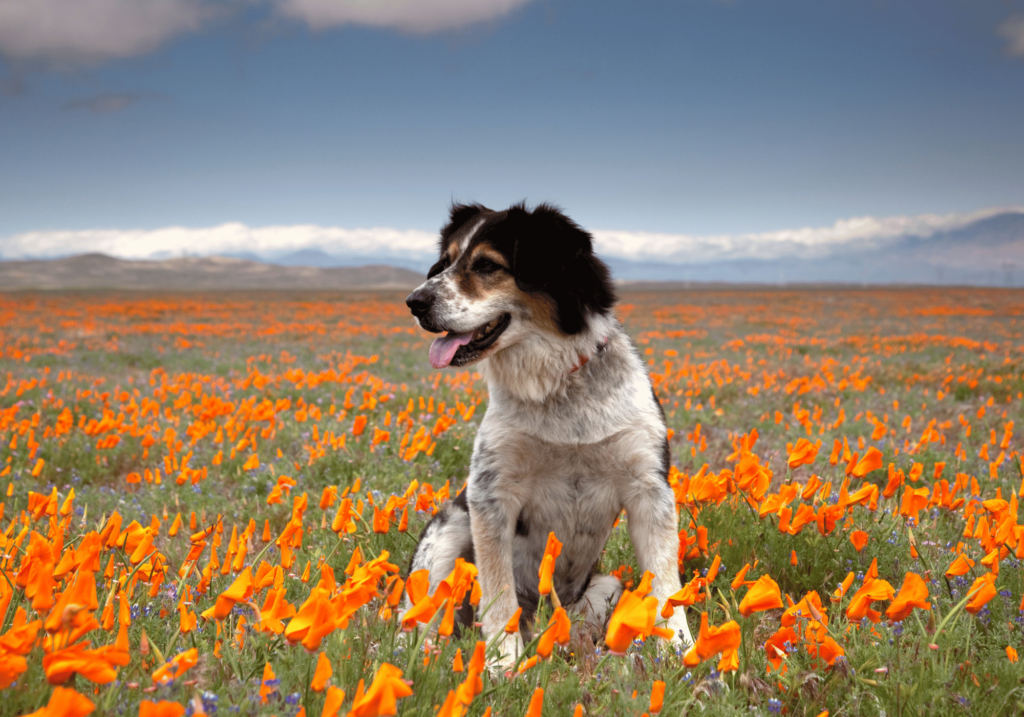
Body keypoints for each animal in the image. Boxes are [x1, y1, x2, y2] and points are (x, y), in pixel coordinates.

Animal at [403, 201, 692, 667]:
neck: (557, 388)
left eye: (487, 265)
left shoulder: (648, 486)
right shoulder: (490, 493)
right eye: (444, 263)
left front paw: (683, 650)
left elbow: (666, 584)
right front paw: (502, 664)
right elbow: (498, 592)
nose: (414, 302)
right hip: (448, 532)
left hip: (603, 587)